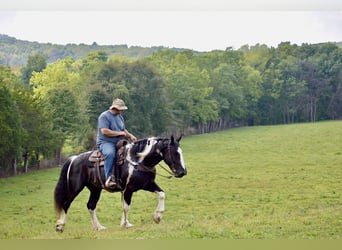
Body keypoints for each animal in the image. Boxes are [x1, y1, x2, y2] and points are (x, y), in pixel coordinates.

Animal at [53, 136, 187, 231]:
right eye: (175, 153)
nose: (183, 172)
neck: (138, 161)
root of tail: (74, 159)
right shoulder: (128, 189)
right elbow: (126, 206)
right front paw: (125, 224)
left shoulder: (148, 184)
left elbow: (161, 194)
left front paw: (157, 217)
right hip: (75, 188)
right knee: (66, 204)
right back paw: (60, 226)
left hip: (95, 189)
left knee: (91, 205)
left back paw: (99, 227)